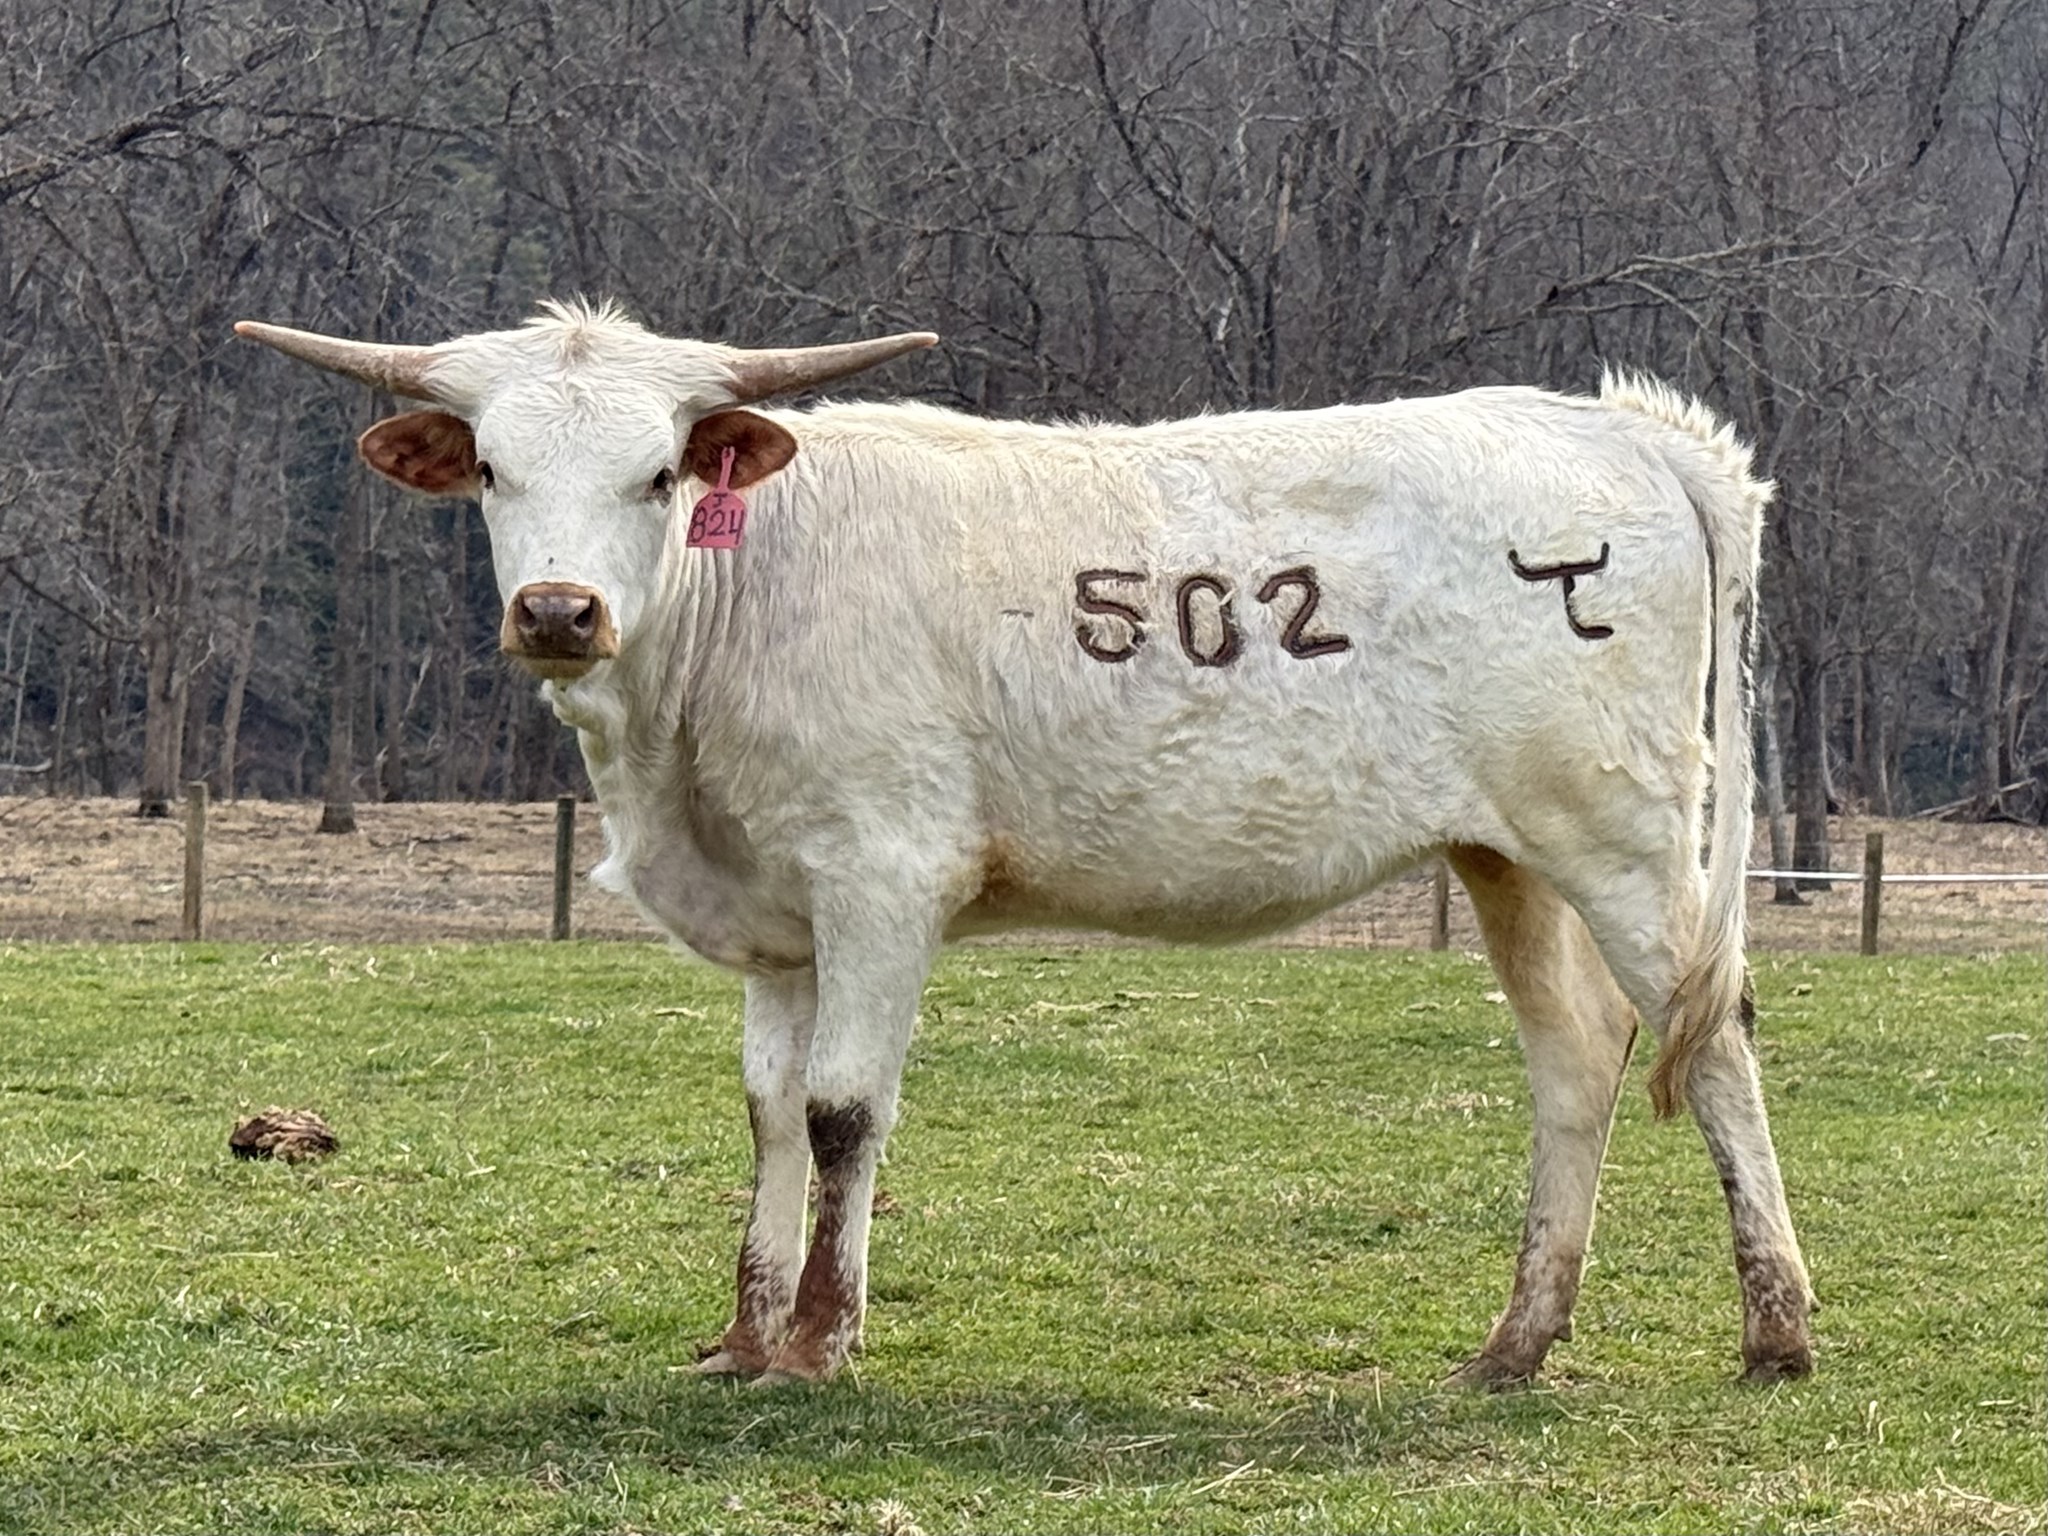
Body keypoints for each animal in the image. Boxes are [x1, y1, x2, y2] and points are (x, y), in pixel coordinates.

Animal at [237, 300, 1814, 1388]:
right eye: (494, 472)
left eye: (659, 477)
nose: (560, 612)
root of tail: (1622, 426)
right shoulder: (777, 918)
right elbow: (765, 1111)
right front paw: (743, 1336)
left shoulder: (882, 874)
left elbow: (841, 1111)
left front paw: (819, 1344)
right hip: (1506, 856)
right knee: (1577, 1054)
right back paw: (1516, 1340)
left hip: (1621, 833)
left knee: (1713, 1031)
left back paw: (1775, 1329)